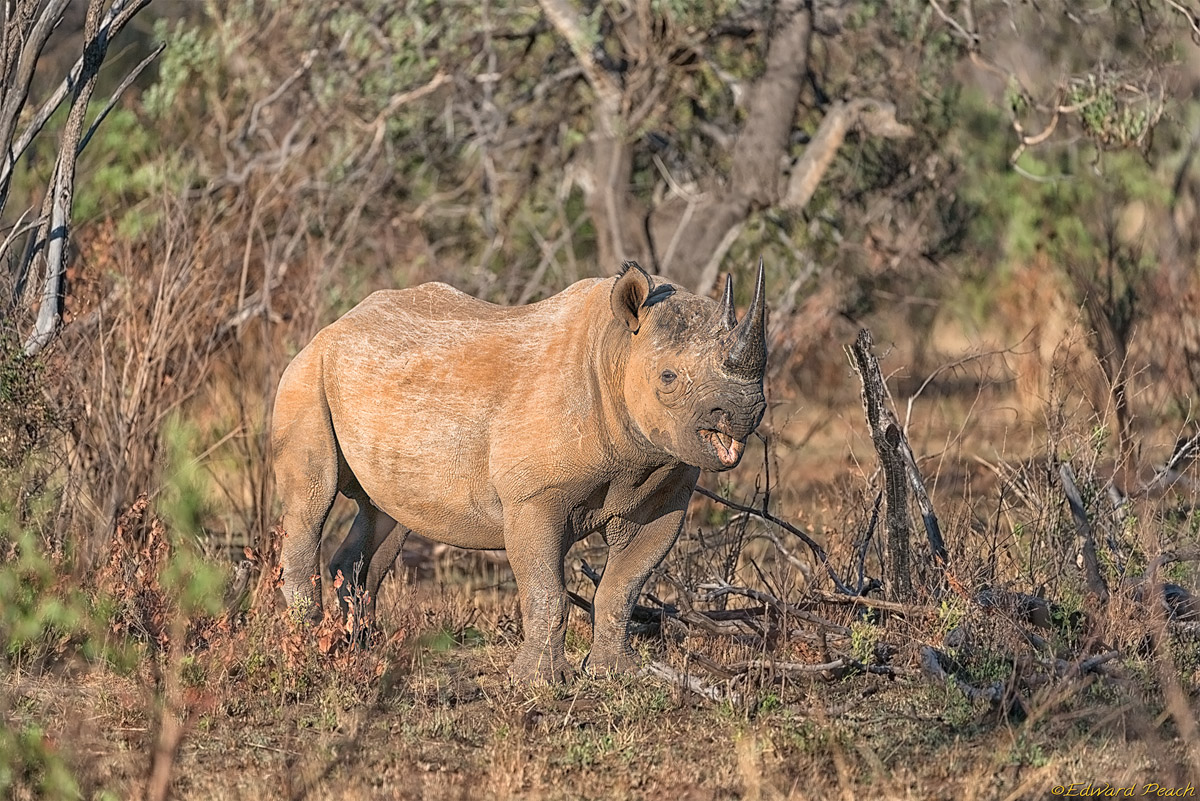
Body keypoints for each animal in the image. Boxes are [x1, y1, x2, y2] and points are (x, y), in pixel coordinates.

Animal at [271, 260, 767, 683]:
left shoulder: (663, 495)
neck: (616, 350)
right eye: (668, 378)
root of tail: (334, 325)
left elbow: (623, 586)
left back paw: (361, 647)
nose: (746, 409)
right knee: (311, 501)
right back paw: (307, 648)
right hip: (305, 374)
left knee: (386, 514)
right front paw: (540, 681)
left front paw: (617, 673)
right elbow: (546, 590)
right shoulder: (534, 497)